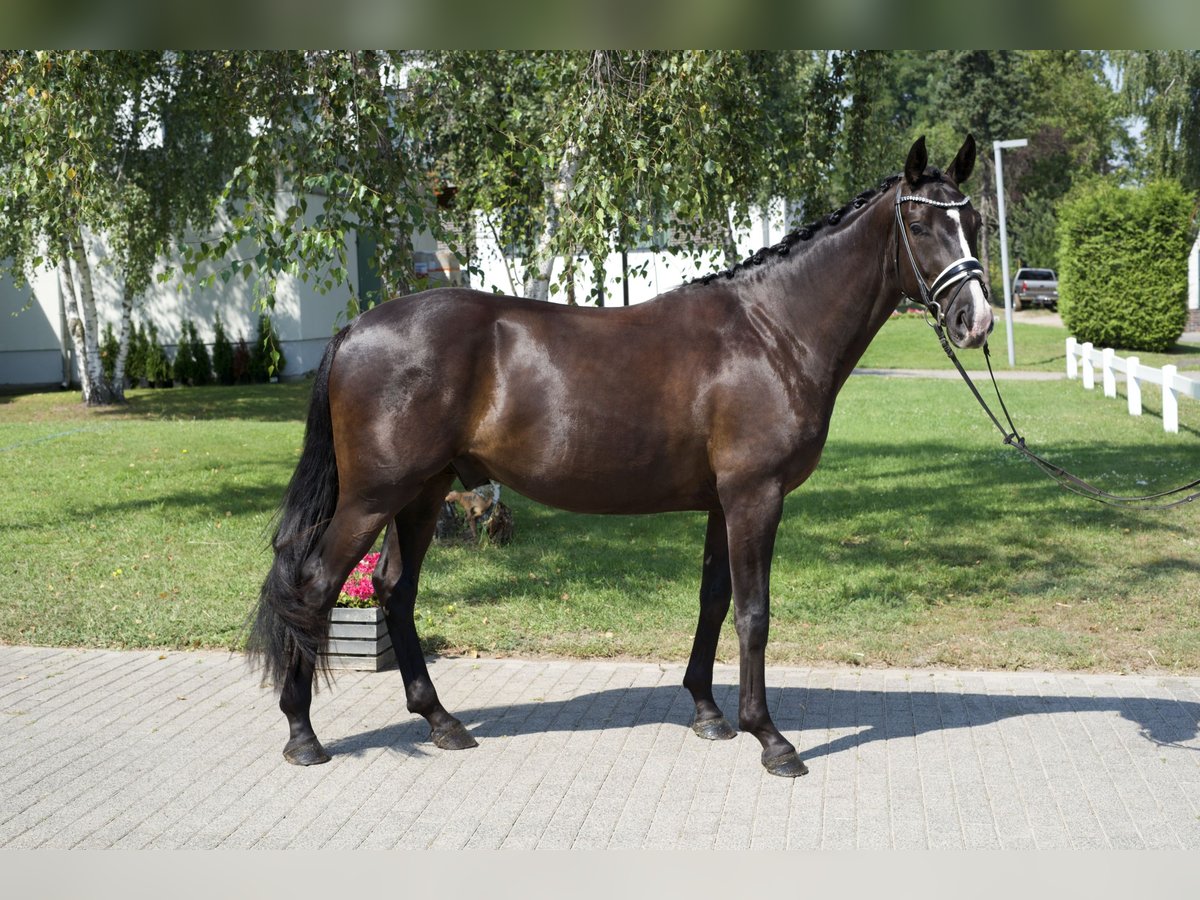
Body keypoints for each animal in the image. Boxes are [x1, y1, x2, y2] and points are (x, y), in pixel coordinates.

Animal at [250, 132, 993, 777]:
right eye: (919, 223)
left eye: (975, 220)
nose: (976, 320)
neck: (771, 331)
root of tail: (354, 328)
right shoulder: (755, 496)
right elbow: (753, 613)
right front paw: (771, 739)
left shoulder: (723, 502)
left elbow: (714, 600)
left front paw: (708, 712)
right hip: (373, 496)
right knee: (313, 585)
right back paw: (302, 734)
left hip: (423, 492)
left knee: (393, 590)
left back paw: (441, 722)